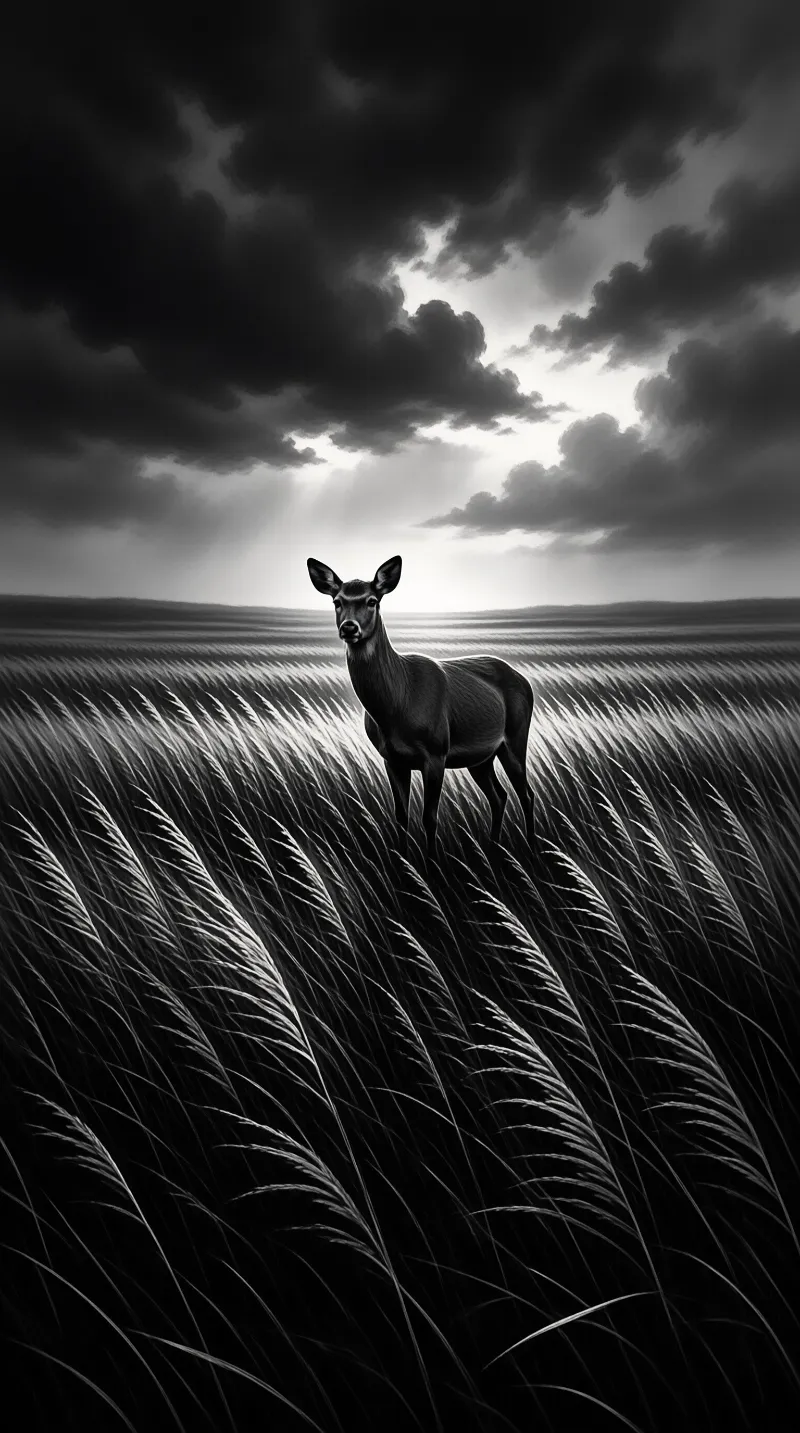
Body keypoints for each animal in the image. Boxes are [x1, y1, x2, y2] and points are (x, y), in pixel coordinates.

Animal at [307, 554, 535, 861]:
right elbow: (401, 815)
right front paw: (402, 863)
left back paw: (531, 850)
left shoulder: (436, 752)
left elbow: (430, 817)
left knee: (526, 794)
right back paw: (493, 851)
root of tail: (524, 679)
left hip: (515, 738)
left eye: (372, 600)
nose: (349, 628)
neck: (397, 705)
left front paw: (432, 864)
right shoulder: (391, 758)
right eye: (337, 601)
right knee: (499, 797)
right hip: (481, 757)